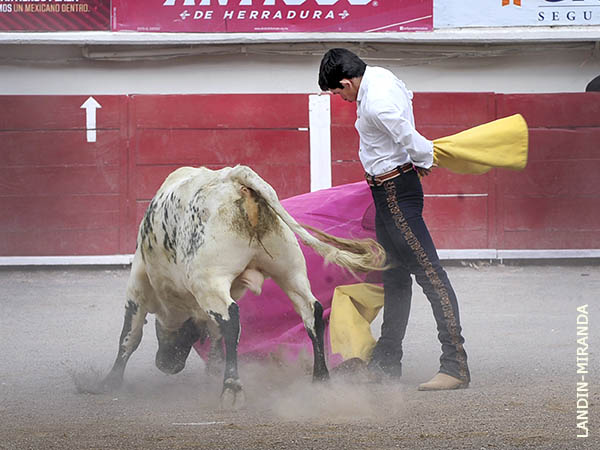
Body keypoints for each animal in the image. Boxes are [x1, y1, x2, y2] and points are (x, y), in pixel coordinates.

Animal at [101, 165, 384, 408]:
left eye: (190, 335)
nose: (166, 365)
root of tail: (236, 177)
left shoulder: (138, 285)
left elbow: (130, 335)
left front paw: (110, 381)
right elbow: (215, 336)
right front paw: (212, 373)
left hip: (211, 281)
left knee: (231, 318)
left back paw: (232, 388)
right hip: (289, 270)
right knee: (310, 311)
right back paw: (321, 380)